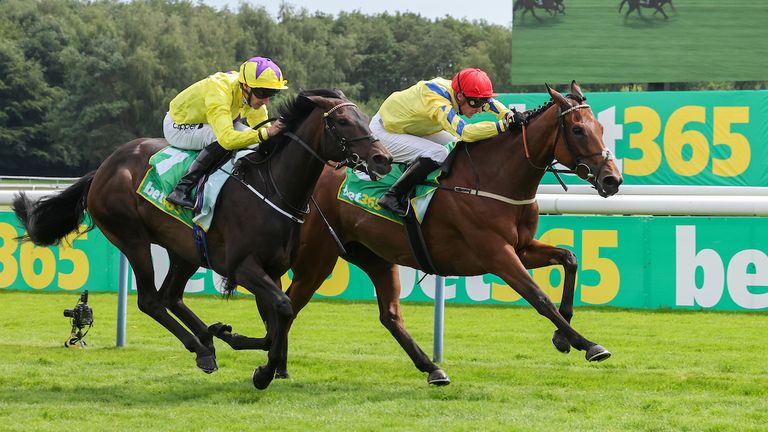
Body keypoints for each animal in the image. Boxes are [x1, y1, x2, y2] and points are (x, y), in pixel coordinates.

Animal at [12, 89, 392, 390]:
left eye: (362, 118)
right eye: (342, 121)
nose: (383, 159)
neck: (272, 187)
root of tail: (104, 167)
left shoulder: (272, 269)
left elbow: (277, 322)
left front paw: (237, 342)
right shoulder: (242, 267)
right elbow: (283, 310)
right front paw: (262, 371)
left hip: (185, 248)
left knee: (171, 296)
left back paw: (207, 340)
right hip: (131, 238)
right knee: (151, 300)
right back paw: (200, 347)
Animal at [210, 81, 624, 384]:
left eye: (602, 128)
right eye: (578, 129)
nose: (613, 180)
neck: (495, 177)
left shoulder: (521, 246)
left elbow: (569, 258)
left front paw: (562, 336)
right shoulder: (496, 254)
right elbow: (539, 298)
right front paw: (588, 343)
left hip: (371, 255)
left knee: (388, 315)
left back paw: (431, 368)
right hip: (318, 256)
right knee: (289, 306)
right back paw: (265, 361)